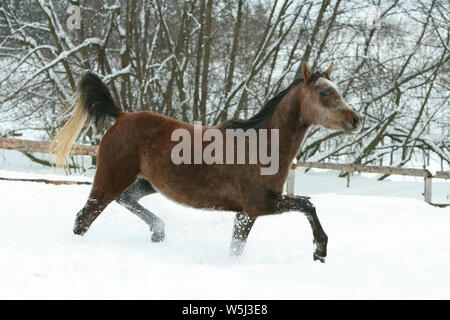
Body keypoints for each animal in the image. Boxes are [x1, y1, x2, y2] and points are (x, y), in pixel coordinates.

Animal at [50, 62, 362, 262]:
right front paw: (320, 251)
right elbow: (308, 205)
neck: (261, 145)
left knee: (125, 199)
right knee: (83, 219)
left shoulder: (246, 214)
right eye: (324, 93)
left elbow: (236, 248)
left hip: (147, 182)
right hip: (109, 178)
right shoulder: (259, 204)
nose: (355, 119)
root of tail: (121, 116)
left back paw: (158, 232)